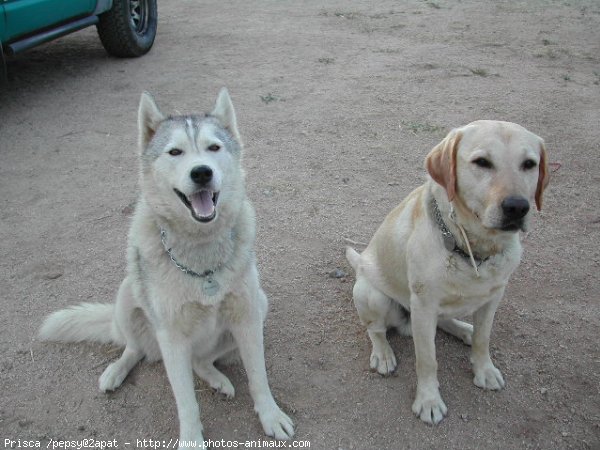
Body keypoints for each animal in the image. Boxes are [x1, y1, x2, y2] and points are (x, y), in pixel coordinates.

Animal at [39, 88, 296, 446]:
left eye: (213, 148)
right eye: (175, 152)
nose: (201, 172)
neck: (201, 254)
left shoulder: (246, 317)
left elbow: (259, 378)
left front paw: (271, 417)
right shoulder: (172, 337)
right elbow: (187, 403)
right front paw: (191, 441)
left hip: (260, 303)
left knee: (200, 361)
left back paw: (216, 379)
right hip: (128, 297)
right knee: (134, 349)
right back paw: (115, 371)